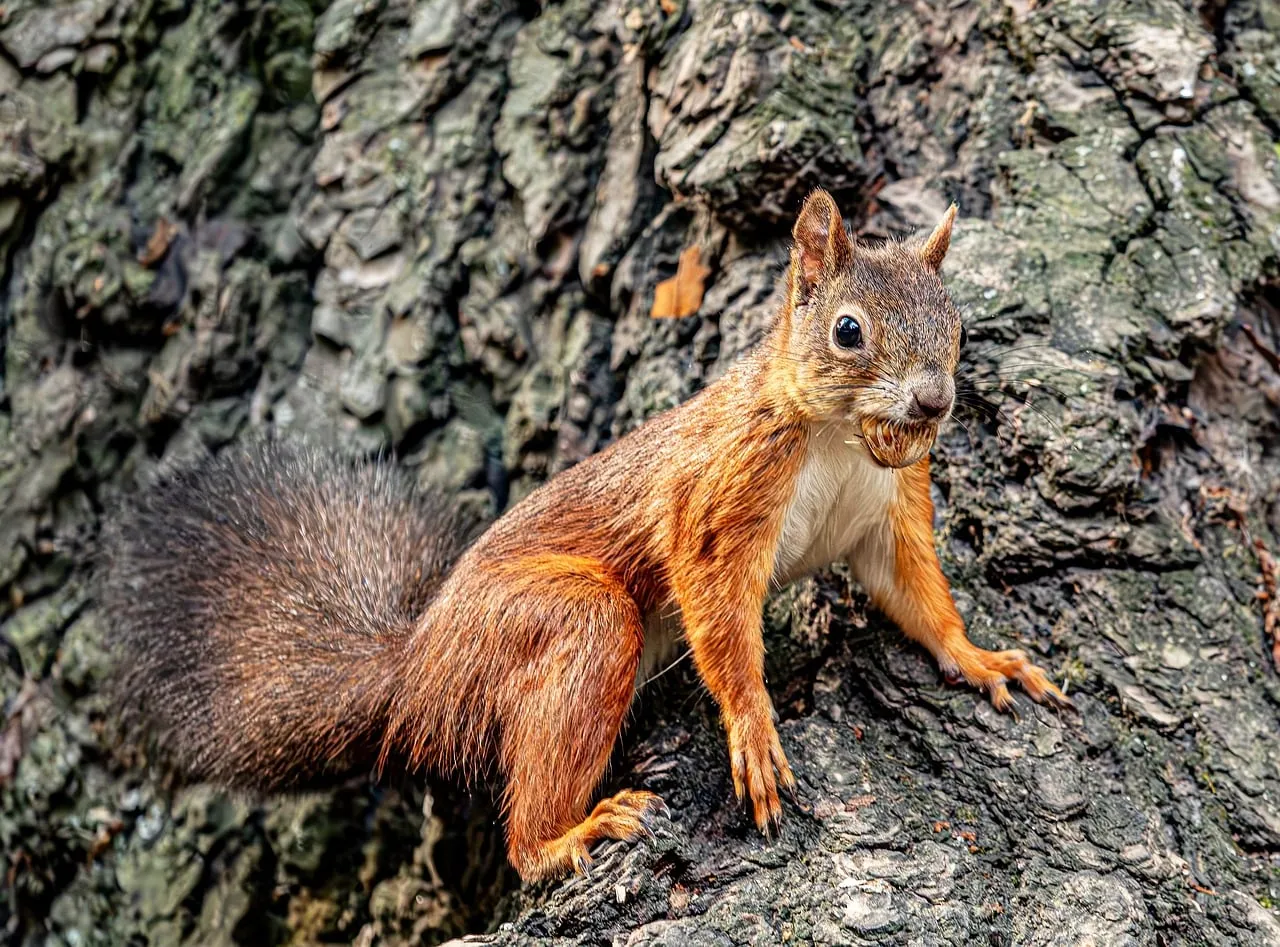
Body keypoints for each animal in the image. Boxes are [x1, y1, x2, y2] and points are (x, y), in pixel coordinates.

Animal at [100, 189, 1069, 882]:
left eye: (958, 326)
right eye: (848, 330)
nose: (934, 402)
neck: (836, 438)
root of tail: (413, 669)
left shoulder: (888, 511)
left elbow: (917, 591)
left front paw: (978, 657)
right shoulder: (721, 496)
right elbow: (718, 611)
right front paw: (753, 725)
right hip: (557, 625)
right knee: (537, 800)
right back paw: (571, 835)